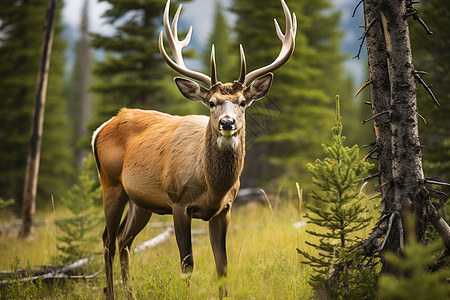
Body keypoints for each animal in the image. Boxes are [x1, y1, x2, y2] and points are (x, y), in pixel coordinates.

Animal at [91, 0, 296, 298]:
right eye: (211, 102)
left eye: (243, 102)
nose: (227, 122)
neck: (212, 185)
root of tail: (102, 127)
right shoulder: (178, 203)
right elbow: (187, 264)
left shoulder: (225, 208)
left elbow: (222, 267)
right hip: (111, 184)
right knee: (107, 239)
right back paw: (111, 291)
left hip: (140, 201)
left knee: (122, 239)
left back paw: (130, 292)